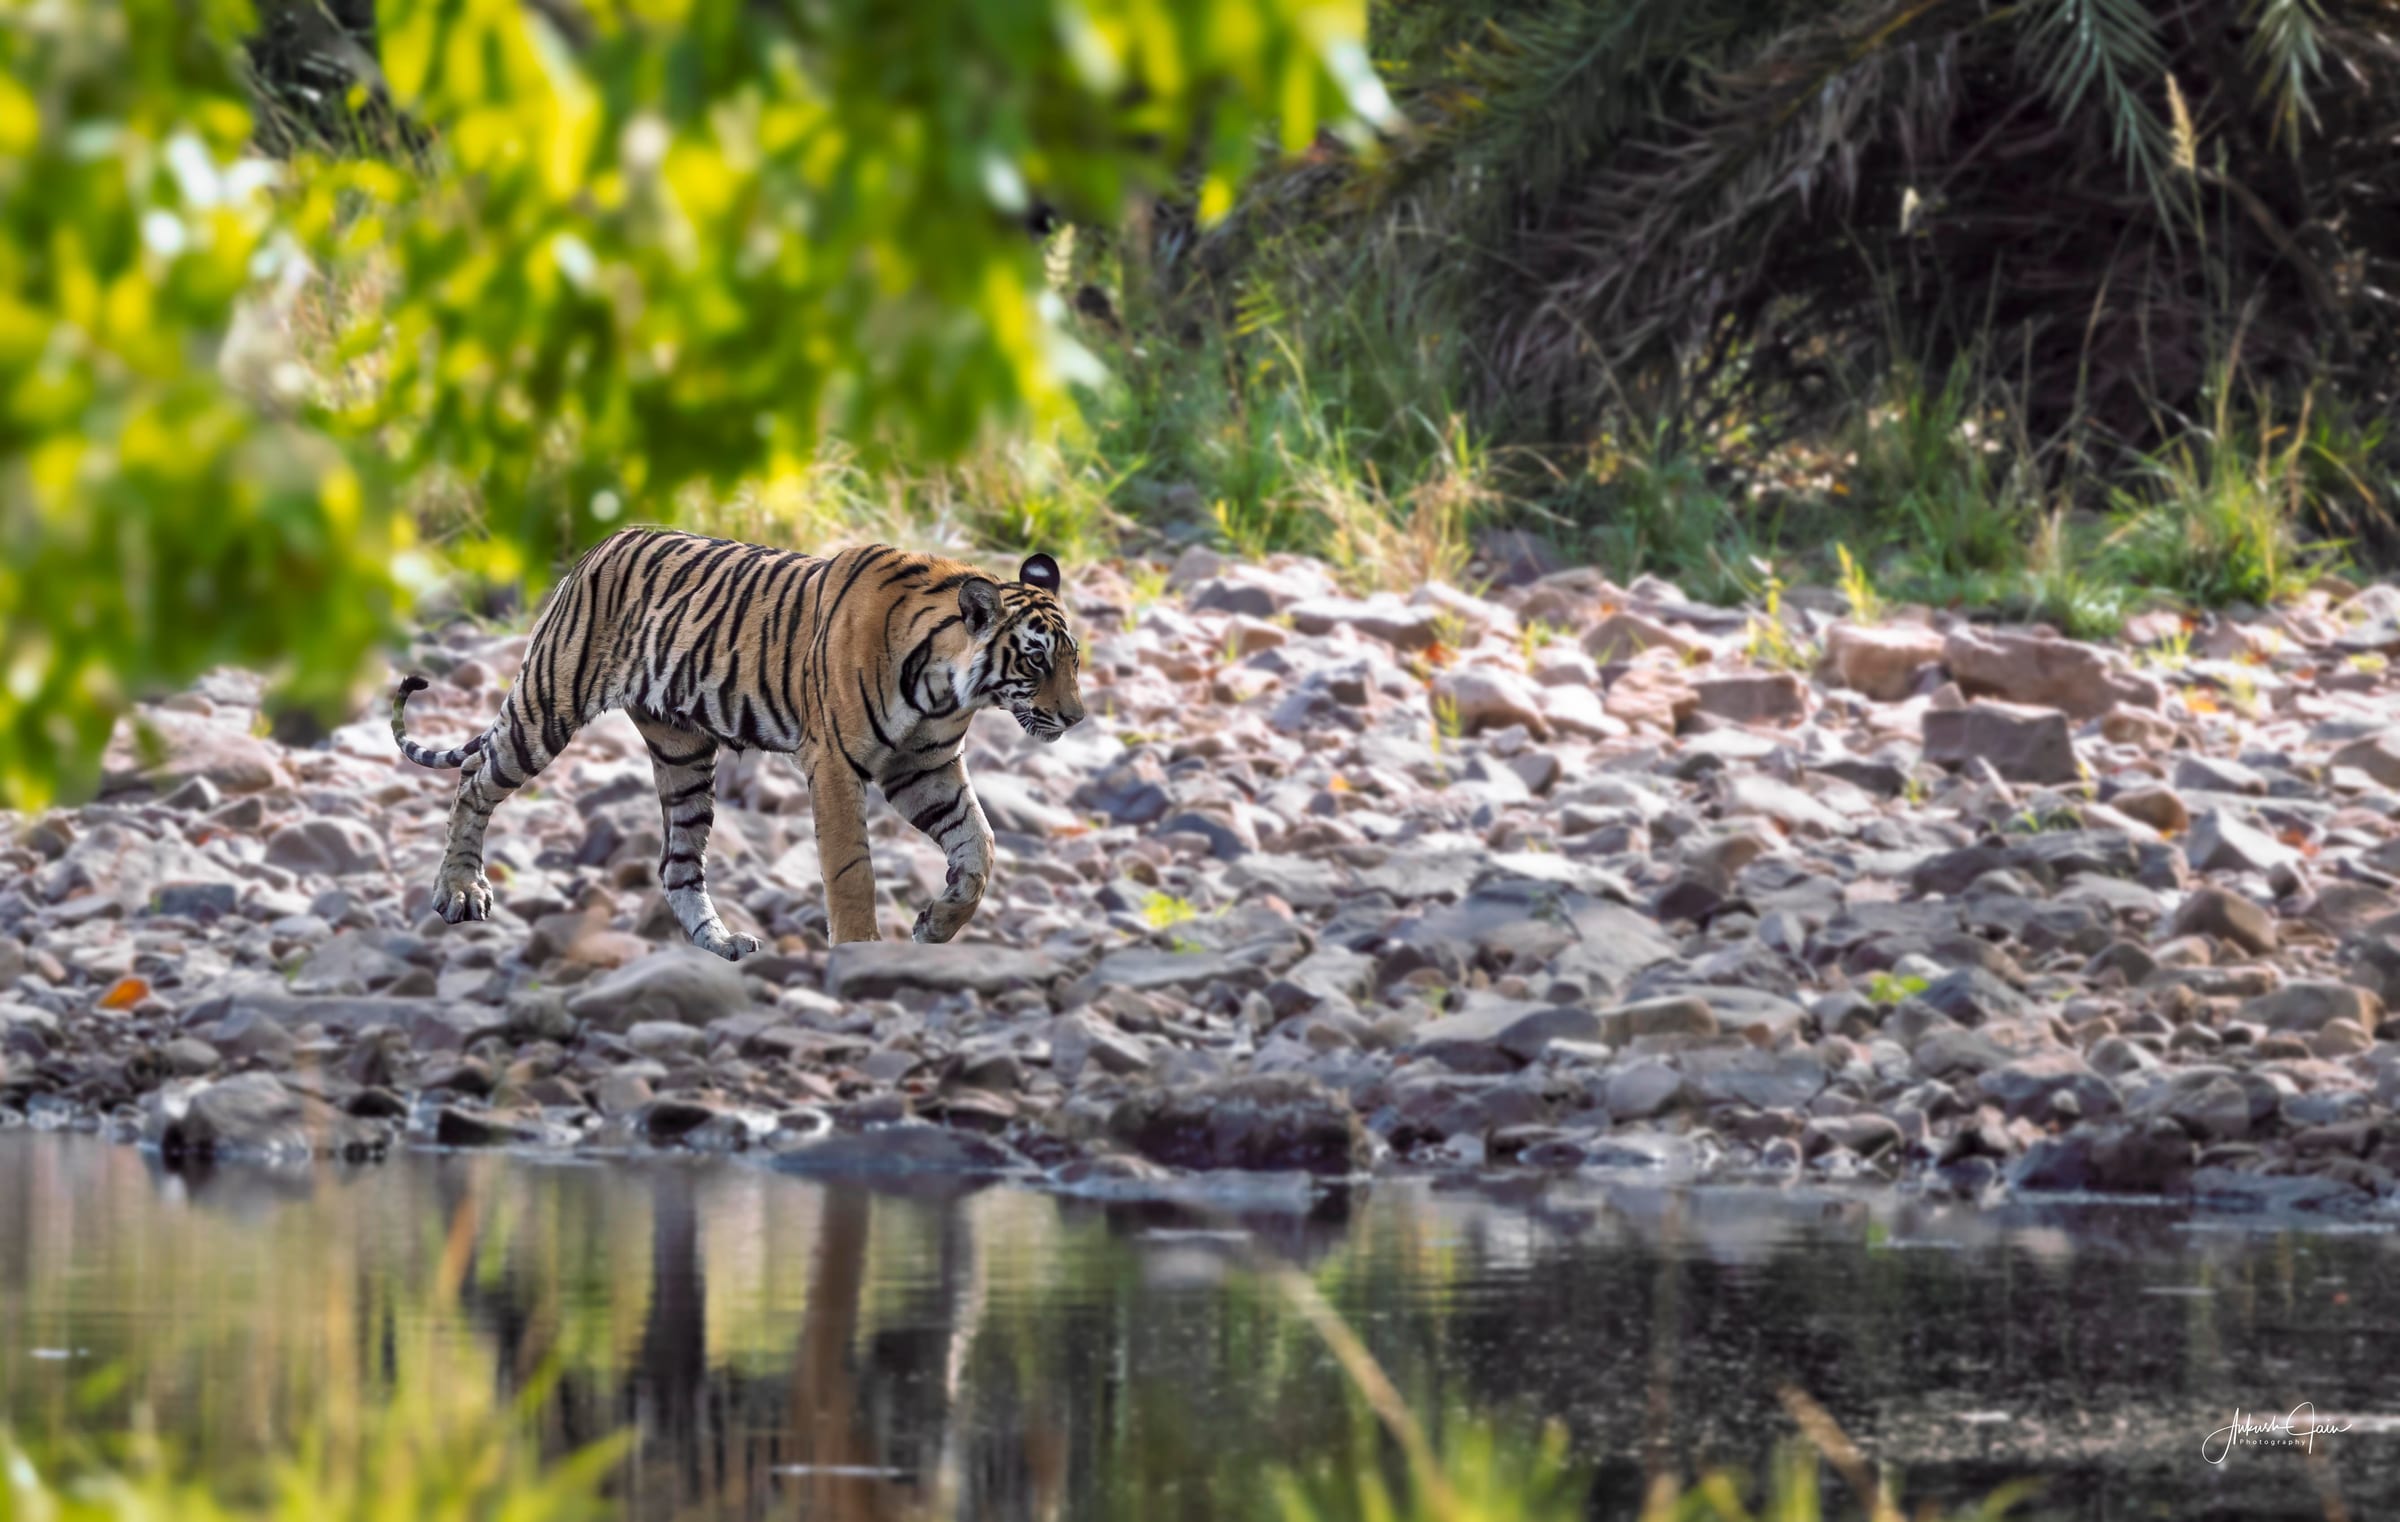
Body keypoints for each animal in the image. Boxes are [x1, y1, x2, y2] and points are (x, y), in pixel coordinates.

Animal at [389, 530, 1086, 958]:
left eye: (1074, 660)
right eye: (1035, 660)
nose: (1077, 717)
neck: (946, 687)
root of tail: (593, 550)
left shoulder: (925, 768)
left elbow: (980, 848)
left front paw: (936, 925)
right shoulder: (836, 765)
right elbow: (851, 869)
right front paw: (860, 953)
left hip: (684, 755)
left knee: (677, 865)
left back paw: (721, 943)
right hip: (546, 709)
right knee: (474, 782)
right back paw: (458, 892)